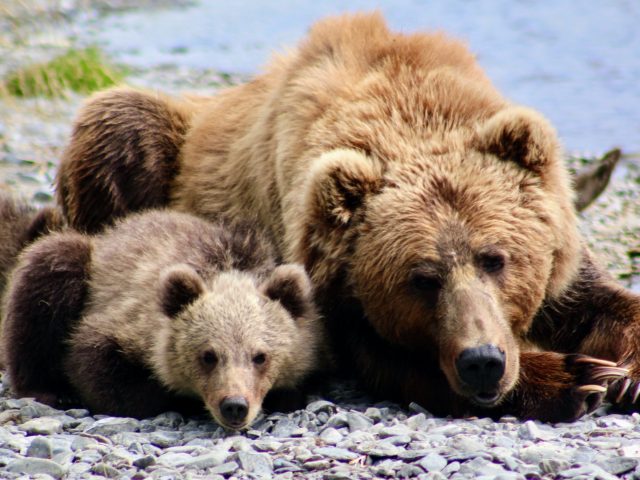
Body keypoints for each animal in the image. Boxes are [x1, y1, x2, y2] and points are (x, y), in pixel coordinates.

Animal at [1, 209, 324, 429]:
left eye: (260, 356)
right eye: (208, 356)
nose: (234, 406)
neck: (228, 266)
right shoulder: (127, 319)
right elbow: (99, 370)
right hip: (82, 270)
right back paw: (51, 390)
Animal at [54, 13, 639, 422]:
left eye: (496, 258)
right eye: (421, 278)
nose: (482, 361)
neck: (406, 106)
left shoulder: (557, 251)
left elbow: (601, 299)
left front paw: (621, 371)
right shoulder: (332, 285)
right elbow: (392, 358)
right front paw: (575, 377)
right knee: (119, 120)